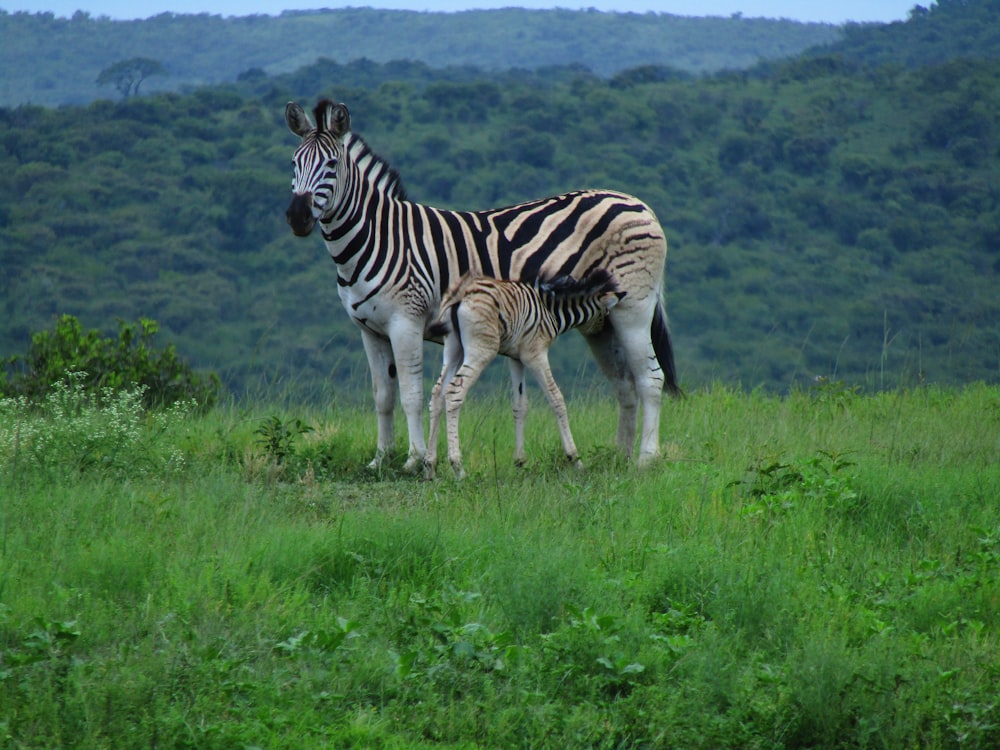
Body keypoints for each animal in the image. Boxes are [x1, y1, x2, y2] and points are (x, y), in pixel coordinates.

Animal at [424, 270, 624, 482]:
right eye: (606, 313)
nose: (604, 336)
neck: (551, 310)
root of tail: (463, 293)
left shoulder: (516, 358)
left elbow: (520, 405)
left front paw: (520, 462)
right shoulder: (535, 354)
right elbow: (556, 398)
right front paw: (575, 460)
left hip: (453, 347)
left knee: (438, 393)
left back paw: (430, 467)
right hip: (482, 350)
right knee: (454, 392)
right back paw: (458, 468)